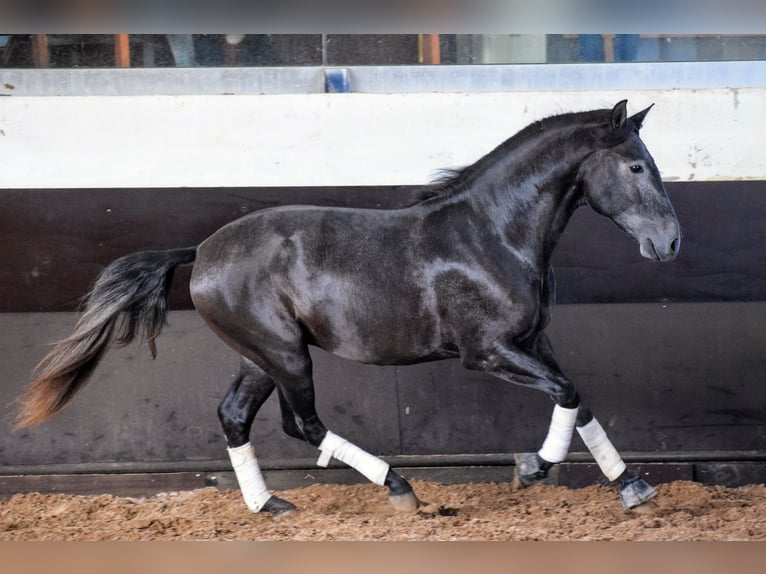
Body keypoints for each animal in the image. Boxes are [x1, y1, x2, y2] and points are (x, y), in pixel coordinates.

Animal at [16, 101, 680, 520]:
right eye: (636, 165)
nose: (670, 242)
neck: (491, 234)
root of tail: (201, 251)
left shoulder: (534, 342)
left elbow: (578, 398)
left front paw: (633, 487)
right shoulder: (487, 352)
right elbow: (566, 393)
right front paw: (532, 467)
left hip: (261, 356)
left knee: (236, 416)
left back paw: (272, 505)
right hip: (285, 353)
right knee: (302, 424)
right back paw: (400, 489)